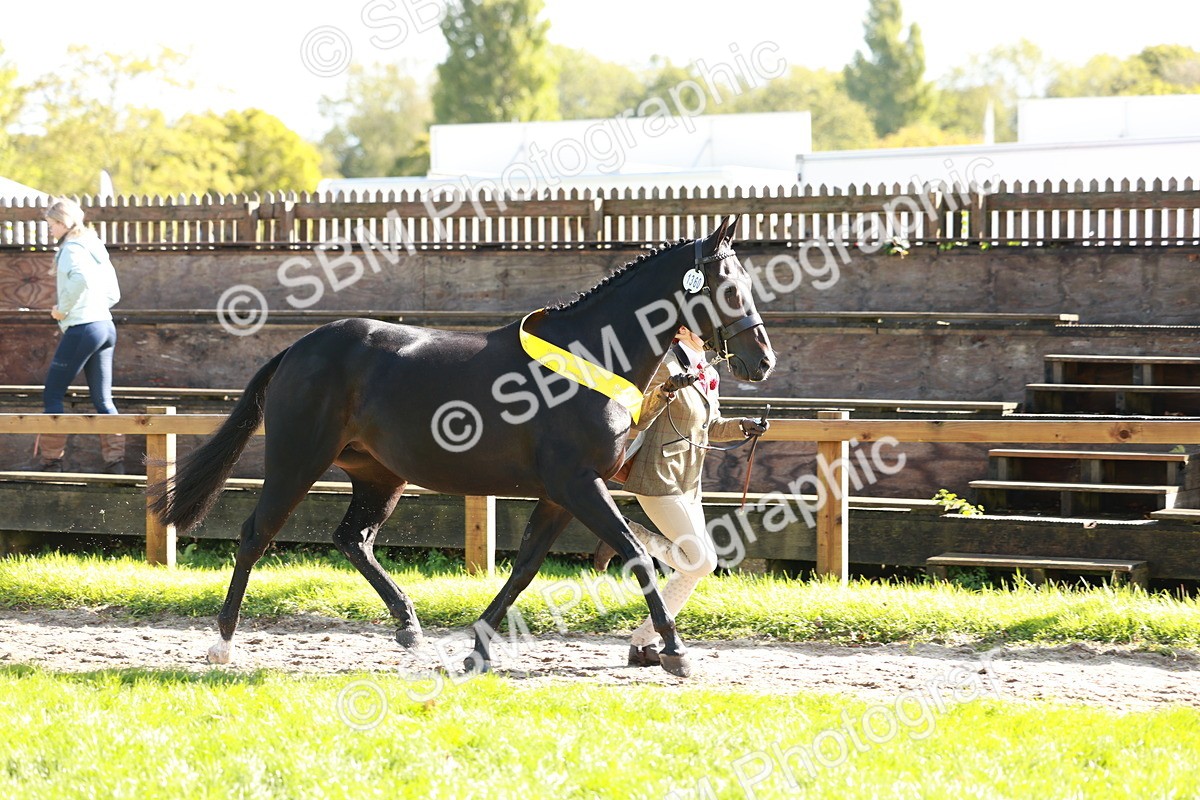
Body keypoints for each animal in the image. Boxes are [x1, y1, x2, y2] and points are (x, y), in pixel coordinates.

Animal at [150, 215, 775, 678]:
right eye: (729, 286)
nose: (762, 360)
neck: (591, 357)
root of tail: (299, 348)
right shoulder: (579, 484)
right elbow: (638, 556)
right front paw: (675, 652)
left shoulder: (560, 494)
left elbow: (524, 569)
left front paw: (477, 648)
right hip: (296, 460)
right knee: (256, 534)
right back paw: (223, 644)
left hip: (380, 474)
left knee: (352, 539)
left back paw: (407, 626)